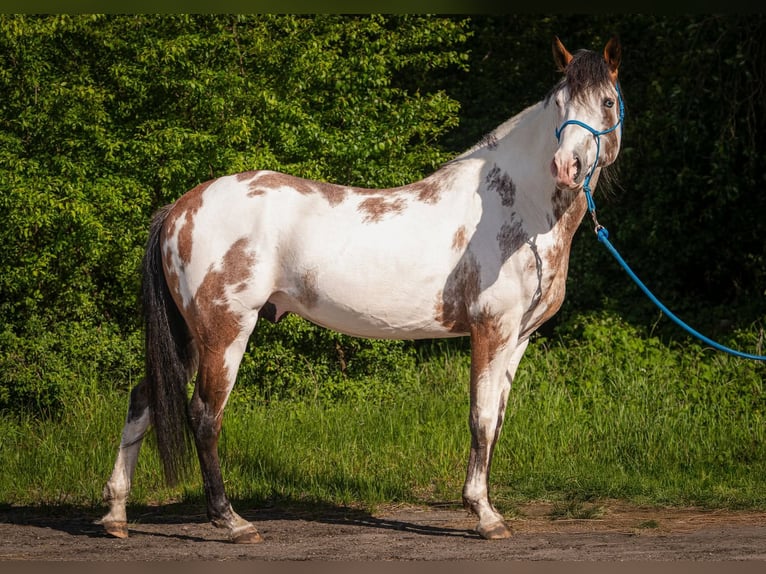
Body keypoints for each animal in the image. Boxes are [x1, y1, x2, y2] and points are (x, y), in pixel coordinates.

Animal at [101, 35, 623, 543]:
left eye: (607, 101)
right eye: (559, 103)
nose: (567, 166)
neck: (517, 208)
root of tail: (179, 208)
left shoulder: (519, 337)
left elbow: (493, 421)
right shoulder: (490, 330)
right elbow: (478, 418)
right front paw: (484, 516)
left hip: (190, 334)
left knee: (144, 399)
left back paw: (116, 515)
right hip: (224, 329)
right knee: (205, 415)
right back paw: (231, 522)